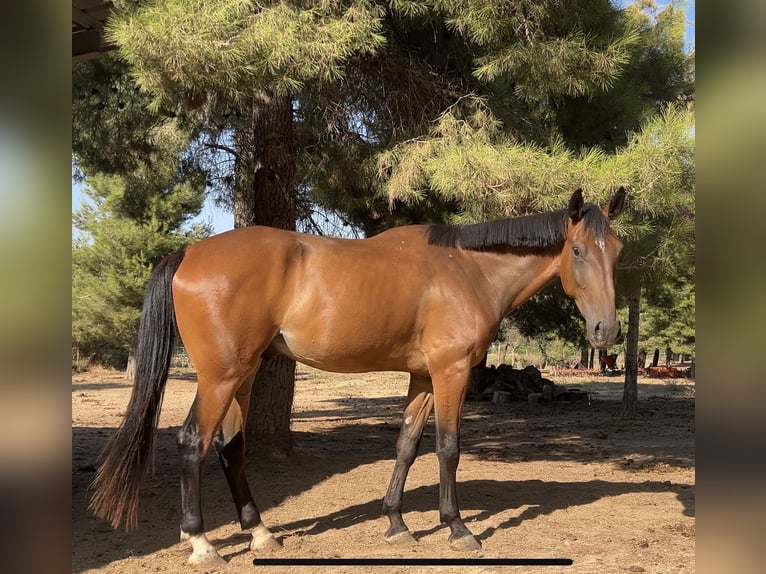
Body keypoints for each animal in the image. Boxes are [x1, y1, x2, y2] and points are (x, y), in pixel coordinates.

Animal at [89, 187, 625, 567]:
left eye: (617, 251)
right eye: (578, 251)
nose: (607, 330)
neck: (466, 269)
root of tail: (188, 254)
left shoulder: (423, 378)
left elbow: (407, 445)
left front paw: (396, 524)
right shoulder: (449, 372)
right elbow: (448, 448)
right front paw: (457, 528)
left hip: (243, 374)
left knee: (230, 448)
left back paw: (261, 533)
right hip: (220, 377)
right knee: (192, 443)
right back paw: (202, 543)